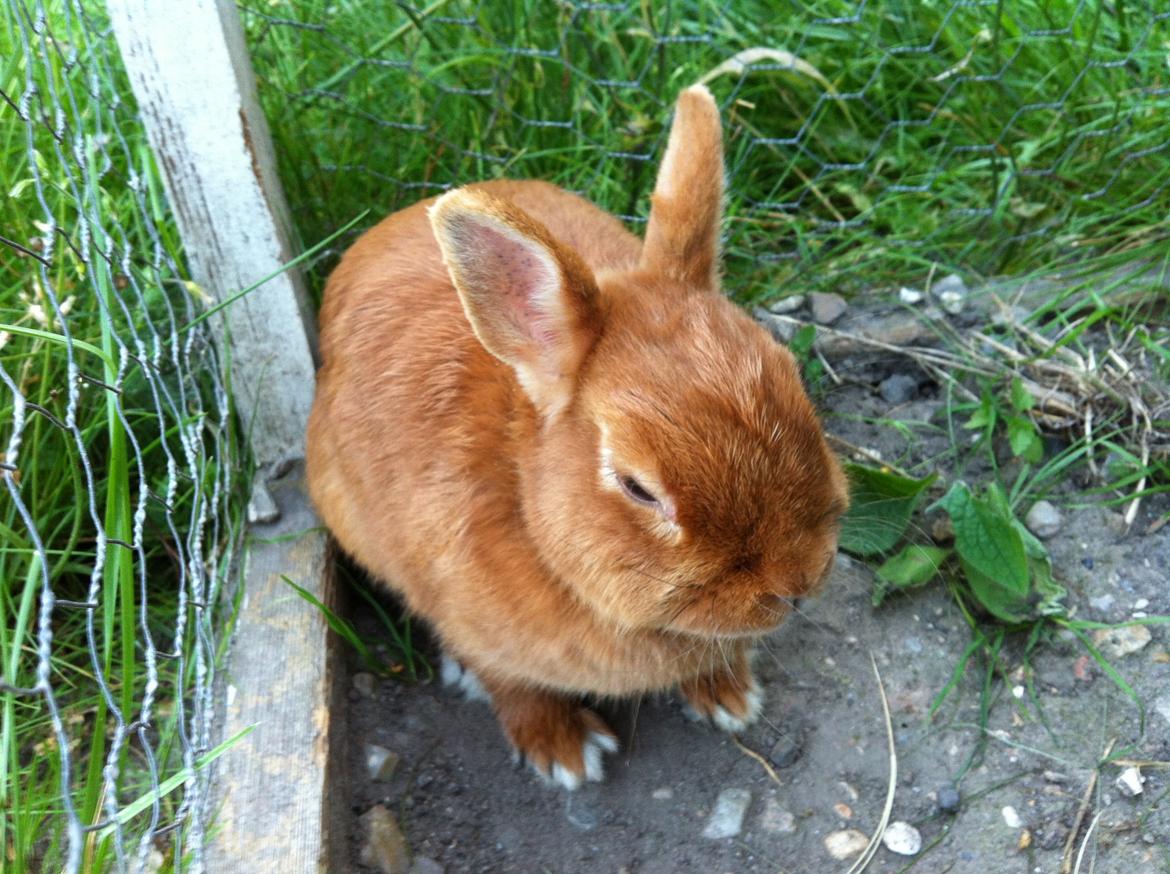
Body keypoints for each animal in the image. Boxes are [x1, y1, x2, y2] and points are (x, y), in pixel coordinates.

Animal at [306, 85, 847, 790]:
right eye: (638, 487)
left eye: (793, 378)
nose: (796, 584)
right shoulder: (474, 627)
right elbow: (510, 683)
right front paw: (563, 752)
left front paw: (729, 695)